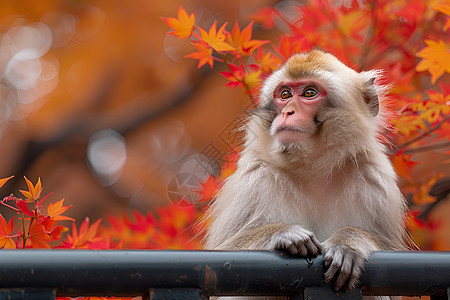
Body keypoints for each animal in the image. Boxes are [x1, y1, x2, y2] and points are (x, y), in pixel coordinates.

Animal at [204, 50, 408, 298]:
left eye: (309, 93)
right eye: (285, 94)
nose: (287, 111)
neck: (313, 169)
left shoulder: (373, 177)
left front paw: (347, 242)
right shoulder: (255, 180)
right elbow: (223, 256)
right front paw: (283, 233)